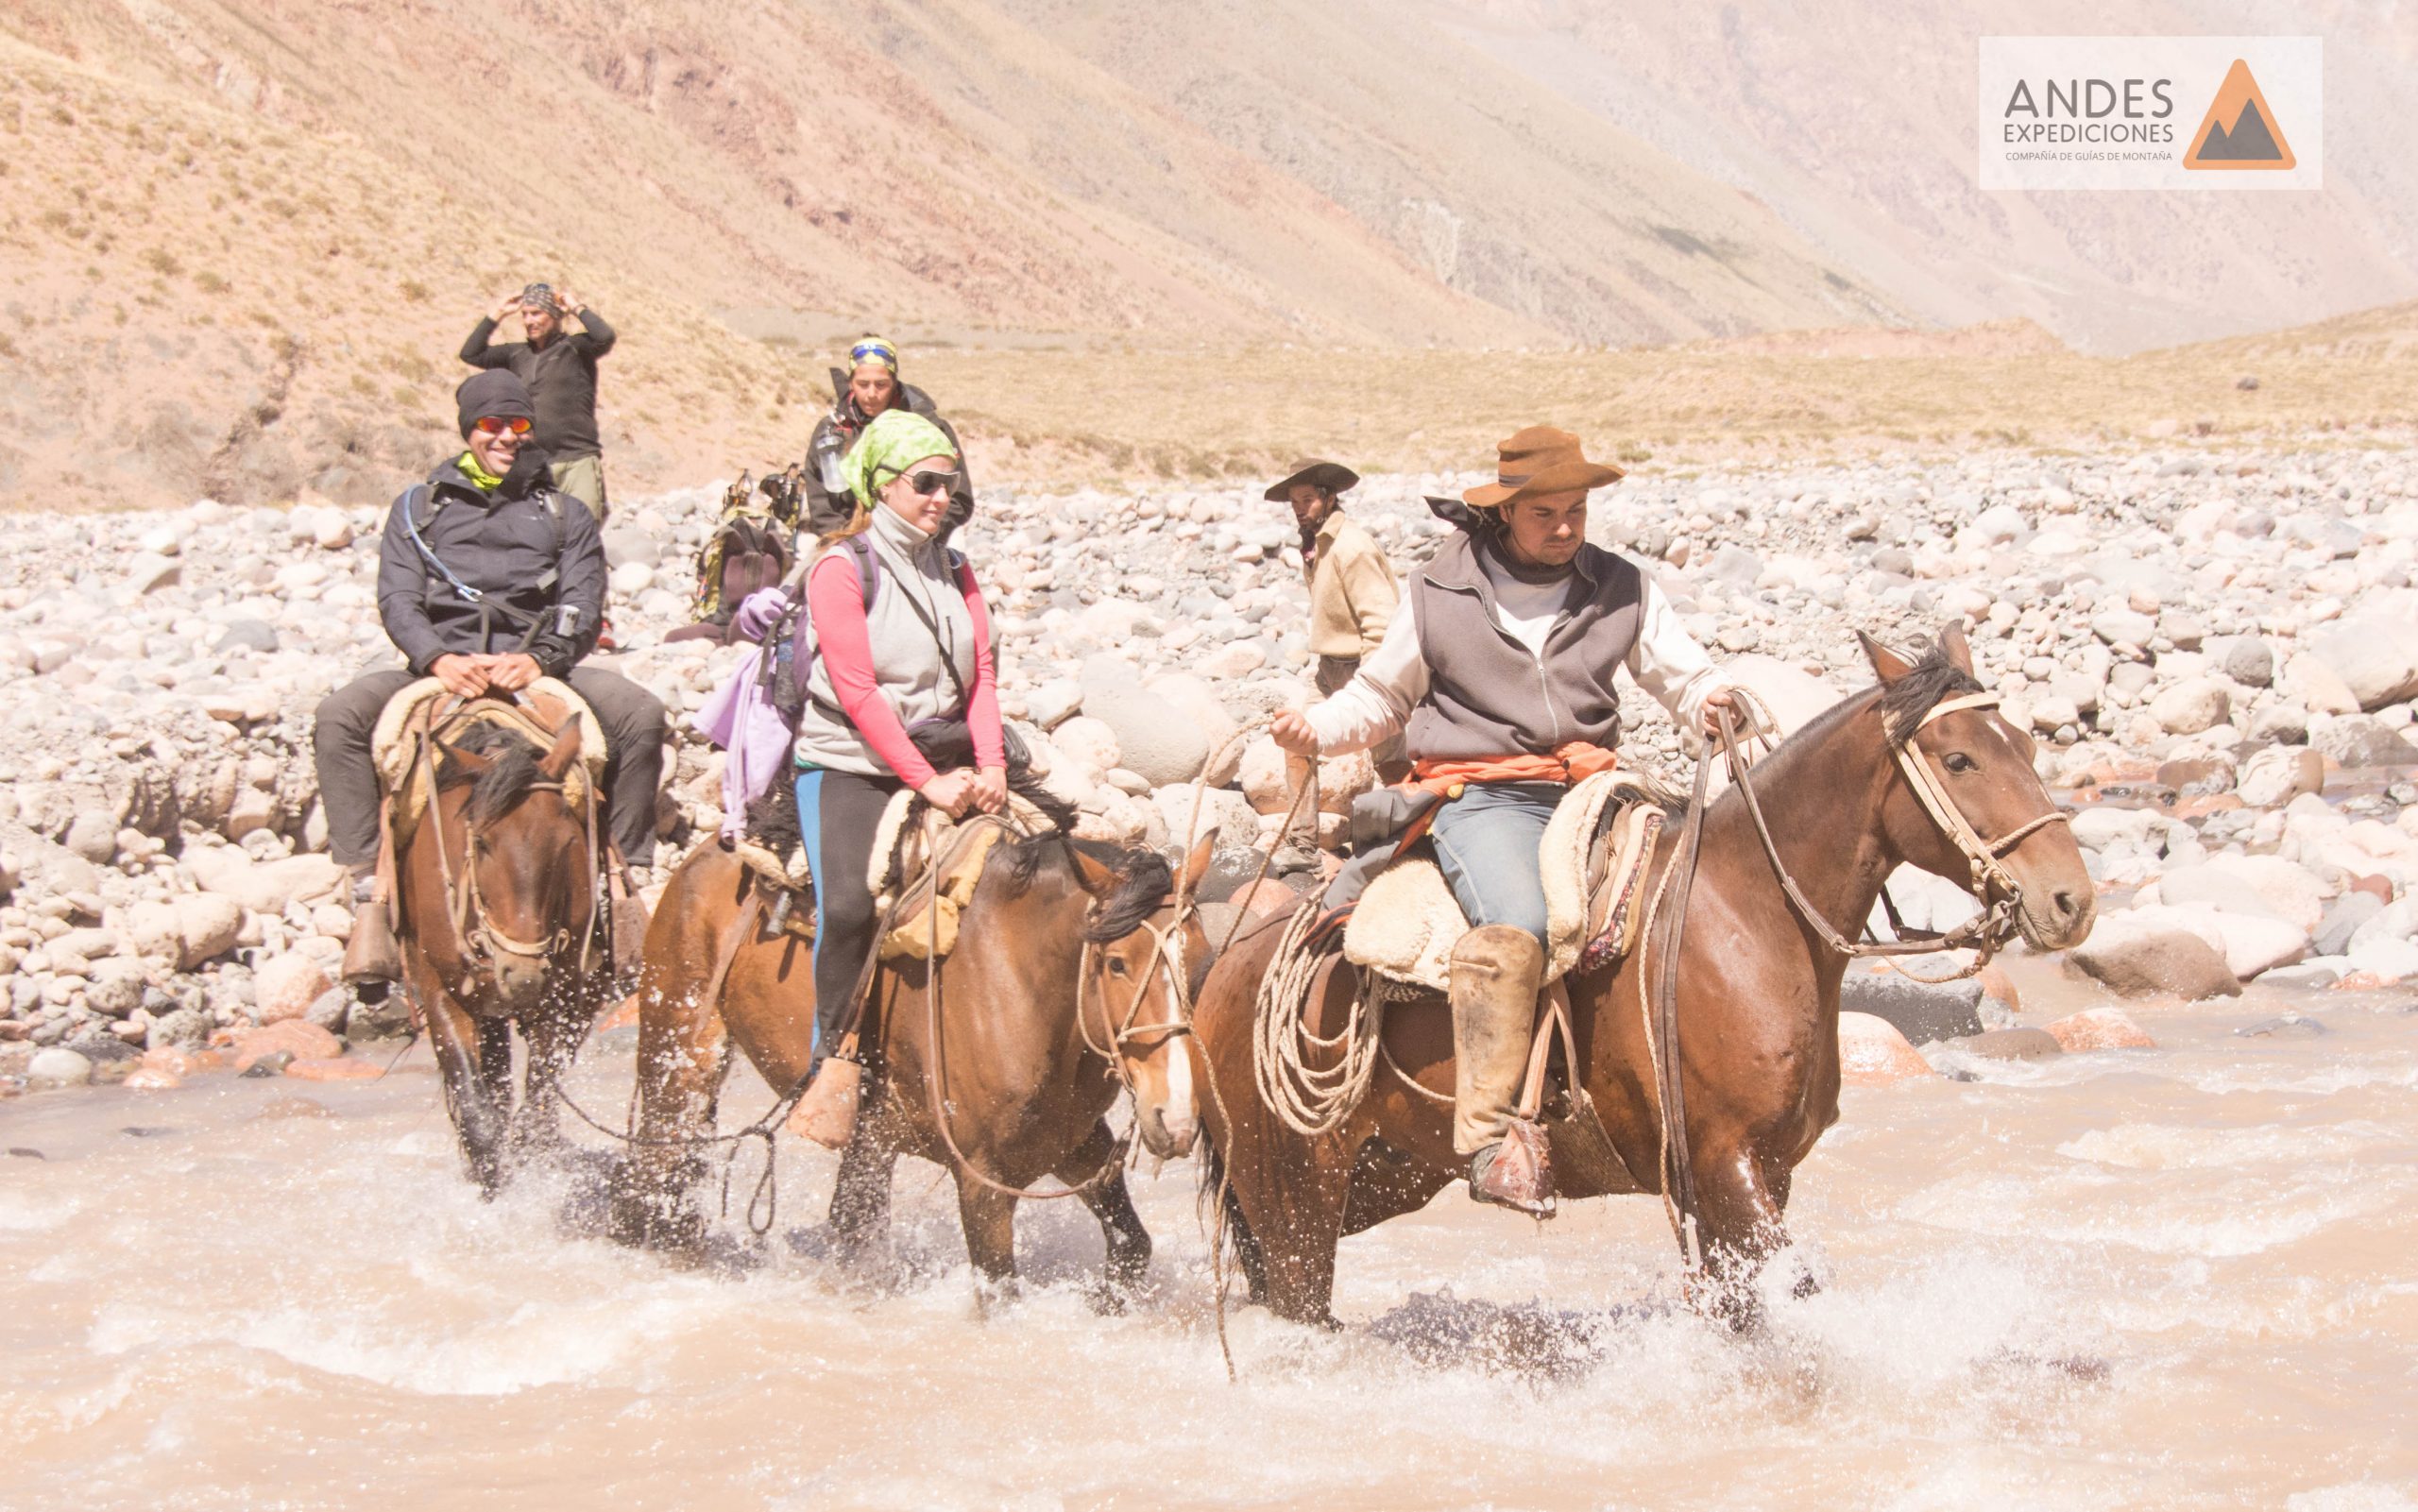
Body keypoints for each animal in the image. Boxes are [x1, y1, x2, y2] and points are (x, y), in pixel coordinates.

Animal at [391, 711, 609, 1195]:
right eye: (482, 843)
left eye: (568, 843)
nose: (522, 975)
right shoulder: (440, 989)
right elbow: (478, 1117)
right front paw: (493, 1191)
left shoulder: (561, 998)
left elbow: (537, 1113)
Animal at [604, 812, 1209, 1297]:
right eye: (1117, 963)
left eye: (1202, 960)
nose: (1175, 1119)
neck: (1018, 987)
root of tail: (705, 856)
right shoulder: (982, 1181)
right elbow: (999, 1291)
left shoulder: (1074, 1144)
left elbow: (1132, 1249)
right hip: (678, 1064)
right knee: (656, 1175)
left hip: (868, 1137)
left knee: (851, 1223)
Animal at [1189, 629, 2099, 1325]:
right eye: (1960, 758)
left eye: (2026, 746)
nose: (2071, 899)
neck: (1747, 916)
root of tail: (1220, 974)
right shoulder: (1724, 1162)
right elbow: (1794, 1285)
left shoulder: (1761, 1174)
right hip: (1294, 1198)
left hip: (1383, 1177)